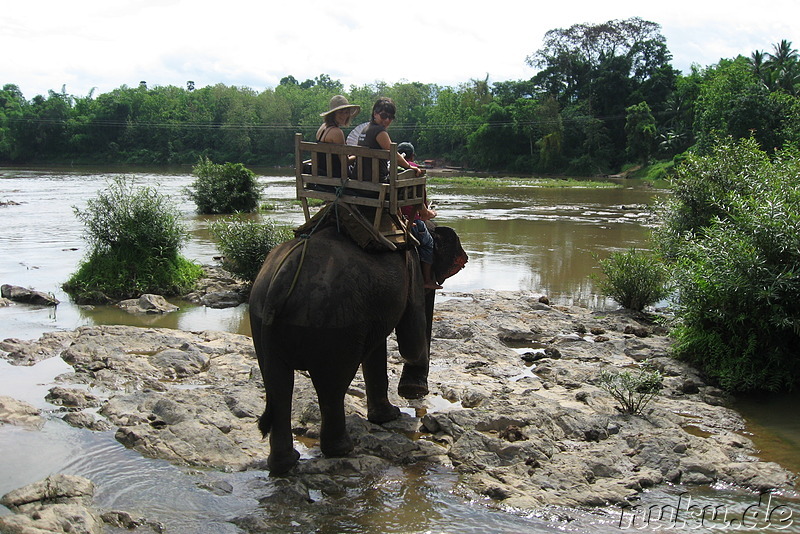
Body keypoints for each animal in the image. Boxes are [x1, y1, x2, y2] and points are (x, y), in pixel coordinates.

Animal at [247, 223, 466, 478]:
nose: (415, 392)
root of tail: (280, 282)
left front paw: (390, 414)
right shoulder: (412, 270)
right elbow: (412, 340)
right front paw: (400, 405)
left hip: (261, 317)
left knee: (279, 386)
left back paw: (285, 464)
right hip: (336, 324)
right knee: (332, 386)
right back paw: (342, 450)